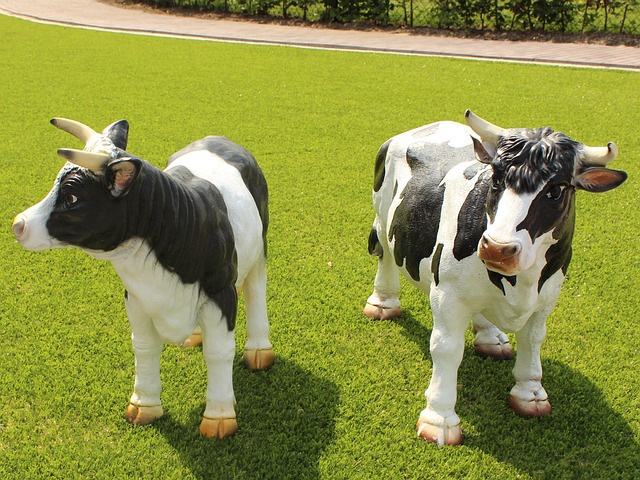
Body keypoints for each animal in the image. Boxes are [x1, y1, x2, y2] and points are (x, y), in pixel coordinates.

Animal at [12, 118, 274, 438]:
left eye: (71, 197)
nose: (18, 224)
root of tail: (219, 138)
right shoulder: (136, 298)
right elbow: (145, 347)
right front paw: (144, 405)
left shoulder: (220, 292)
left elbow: (218, 352)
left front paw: (219, 418)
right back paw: (195, 337)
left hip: (259, 246)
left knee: (255, 290)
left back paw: (259, 350)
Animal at [364, 110, 627, 446]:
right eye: (498, 179)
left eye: (555, 190)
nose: (498, 248)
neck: (520, 284)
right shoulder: (448, 294)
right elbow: (446, 348)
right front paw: (439, 419)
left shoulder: (548, 295)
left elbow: (533, 339)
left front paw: (530, 393)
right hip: (383, 216)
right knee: (385, 253)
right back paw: (383, 303)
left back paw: (490, 336)